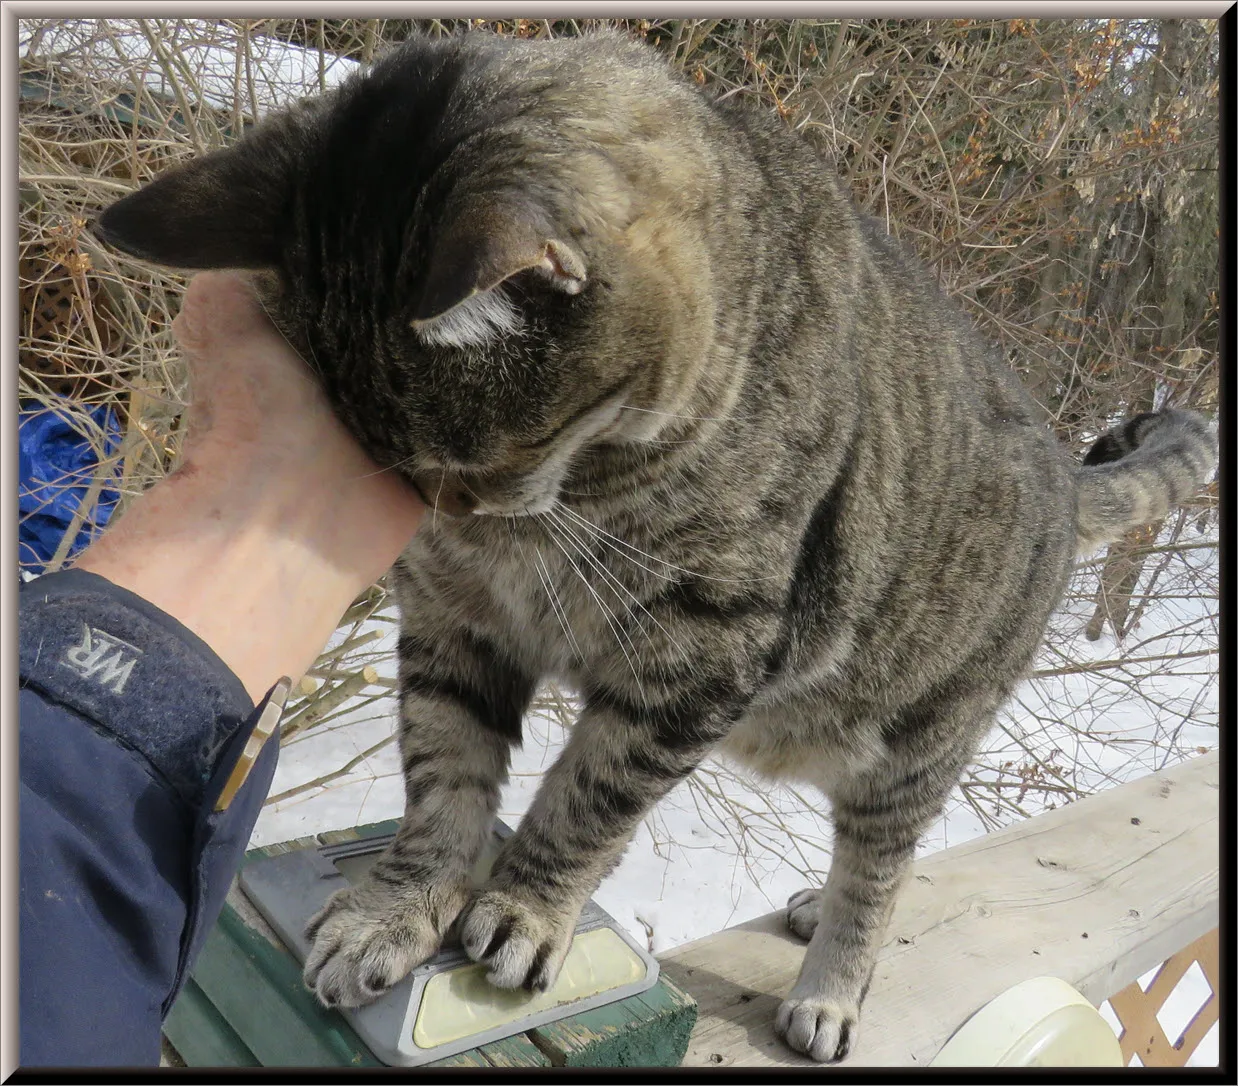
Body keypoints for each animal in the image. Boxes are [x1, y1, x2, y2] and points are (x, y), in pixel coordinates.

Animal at [99, 29, 1218, 1064]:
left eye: (471, 459)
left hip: (909, 747)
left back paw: (831, 985)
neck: (597, 480)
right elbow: (442, 777)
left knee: (882, 867)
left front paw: (522, 910)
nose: (454, 516)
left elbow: (586, 797)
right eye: (391, 469)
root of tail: (1066, 472)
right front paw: (397, 908)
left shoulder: (696, 656)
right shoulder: (454, 620)